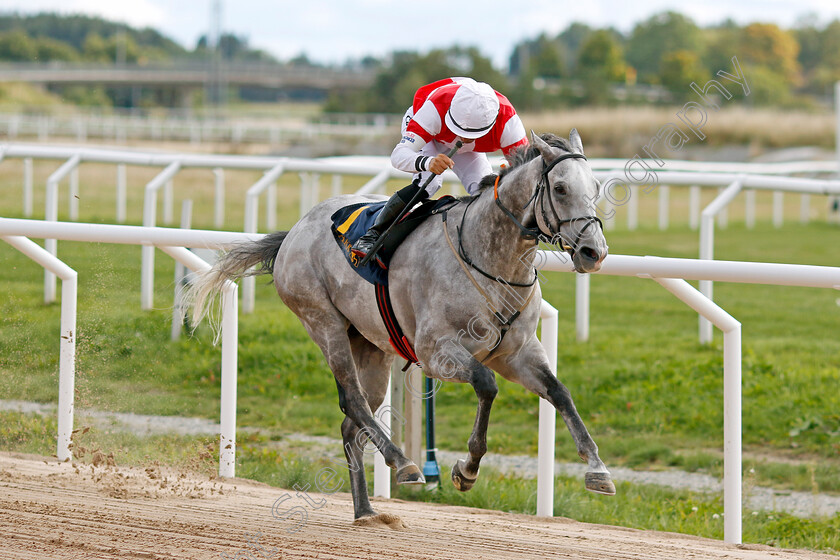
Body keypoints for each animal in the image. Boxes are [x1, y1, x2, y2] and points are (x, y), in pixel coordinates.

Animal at [187, 131, 612, 520]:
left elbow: (560, 393)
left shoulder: (517, 352)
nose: (595, 252)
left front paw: (598, 470)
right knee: (354, 401)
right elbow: (486, 385)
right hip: (323, 322)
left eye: (595, 187)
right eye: (560, 188)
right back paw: (402, 462)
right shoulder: (436, 351)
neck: (491, 260)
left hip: (371, 347)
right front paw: (466, 470)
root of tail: (294, 230)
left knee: (352, 423)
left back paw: (366, 511)